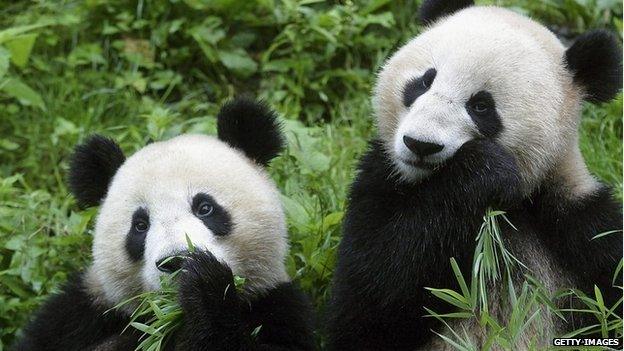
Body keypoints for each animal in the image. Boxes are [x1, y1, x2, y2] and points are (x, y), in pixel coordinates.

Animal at [16, 97, 314, 350]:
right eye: (140, 225)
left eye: (205, 208)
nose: (176, 260)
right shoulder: (84, 311)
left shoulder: (276, 305)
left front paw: (205, 285)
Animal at [330, 0, 620, 350]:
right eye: (424, 81)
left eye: (481, 106)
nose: (420, 144)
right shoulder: (378, 183)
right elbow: (369, 302)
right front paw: (482, 171)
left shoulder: (582, 227)